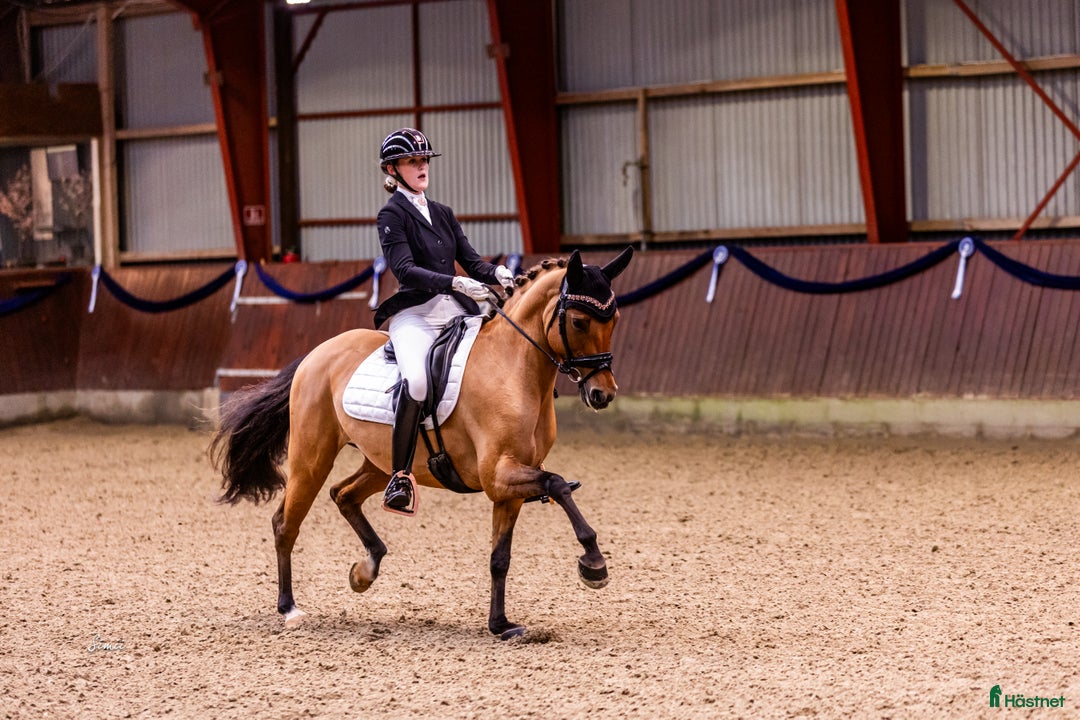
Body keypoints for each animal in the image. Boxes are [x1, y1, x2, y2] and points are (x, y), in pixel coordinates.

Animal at [210, 247, 633, 639]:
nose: (603, 394)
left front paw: (500, 624)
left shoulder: (507, 488)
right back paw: (289, 608)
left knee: (343, 494)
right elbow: (558, 484)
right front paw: (594, 564)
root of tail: (317, 353)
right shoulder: (499, 476)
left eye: (614, 320)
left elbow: (500, 557)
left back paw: (365, 570)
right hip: (311, 459)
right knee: (286, 522)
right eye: (579, 321)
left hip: (384, 463)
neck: (513, 369)